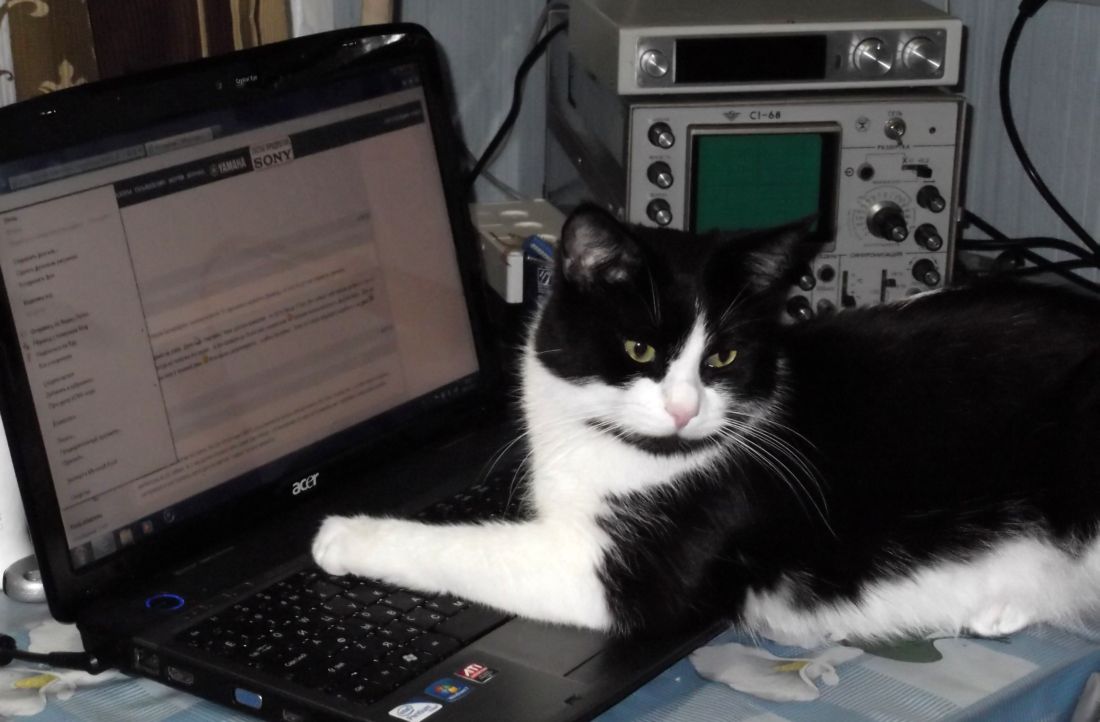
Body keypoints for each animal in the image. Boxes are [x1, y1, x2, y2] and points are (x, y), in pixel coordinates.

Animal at [313, 203, 1100, 646]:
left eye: (721, 357)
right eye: (641, 350)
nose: (685, 408)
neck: (631, 452)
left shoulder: (625, 571)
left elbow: (466, 548)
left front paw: (346, 535)